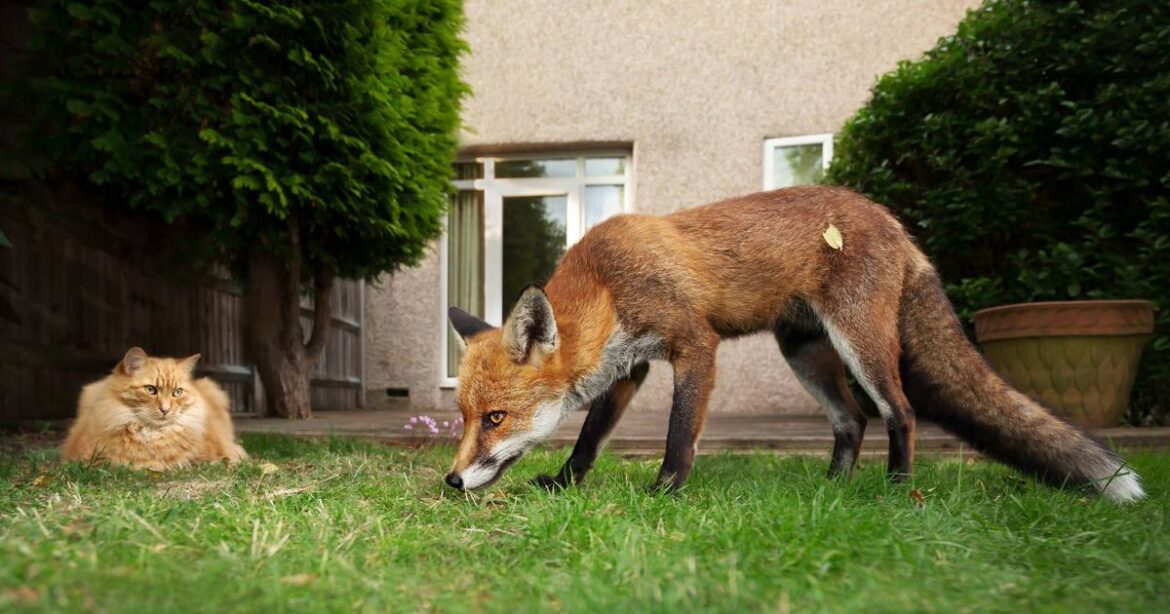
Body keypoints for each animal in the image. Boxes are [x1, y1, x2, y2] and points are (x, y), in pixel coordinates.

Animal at [445, 185, 1145, 502]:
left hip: (860, 343)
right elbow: (589, 439)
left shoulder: (694, 345)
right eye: (465, 416)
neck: (607, 283)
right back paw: (834, 488)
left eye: (496, 418)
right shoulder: (628, 369)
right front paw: (564, 483)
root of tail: (893, 221)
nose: (450, 481)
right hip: (805, 354)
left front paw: (667, 488)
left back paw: (895, 489)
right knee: (851, 420)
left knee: (899, 412)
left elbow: (679, 432)